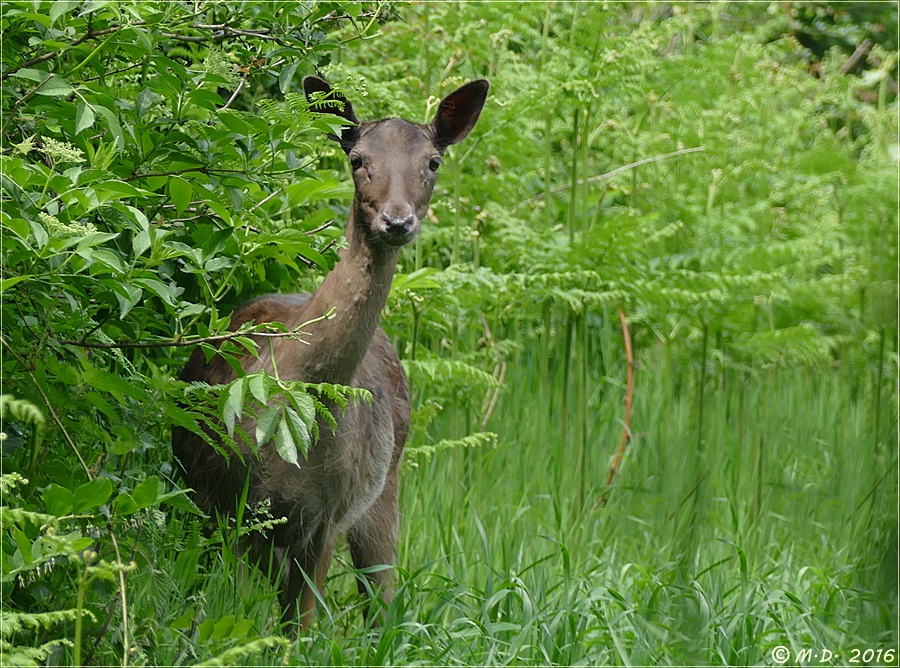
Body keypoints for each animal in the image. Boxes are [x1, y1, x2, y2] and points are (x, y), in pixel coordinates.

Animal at [171, 75, 488, 628]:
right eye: (357, 157)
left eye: (432, 162)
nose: (397, 221)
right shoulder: (218, 499)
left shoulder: (325, 518)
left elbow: (301, 629)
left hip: (383, 493)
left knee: (382, 604)